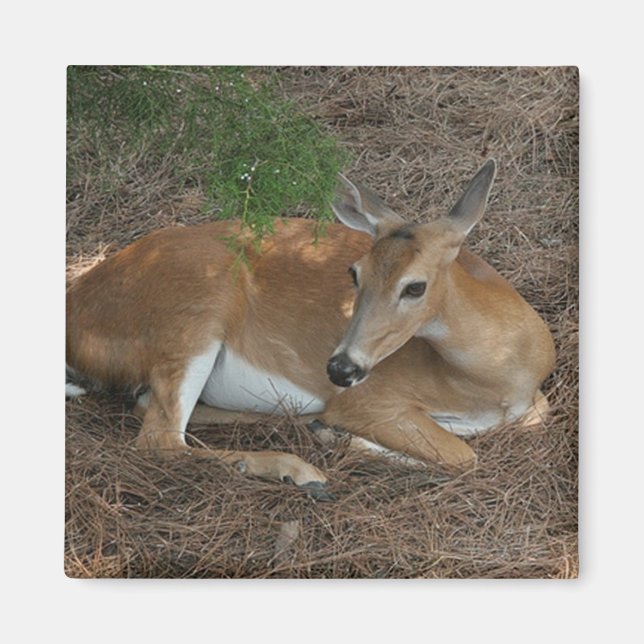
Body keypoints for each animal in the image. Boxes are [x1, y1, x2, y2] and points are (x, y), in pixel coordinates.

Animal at [66, 159, 555, 499]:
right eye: (354, 273)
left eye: (415, 286)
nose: (339, 369)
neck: (498, 379)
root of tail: (74, 308)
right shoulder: (375, 400)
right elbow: (462, 456)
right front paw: (343, 439)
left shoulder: (530, 405)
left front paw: (332, 434)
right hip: (194, 315)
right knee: (159, 438)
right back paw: (301, 470)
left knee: (148, 406)